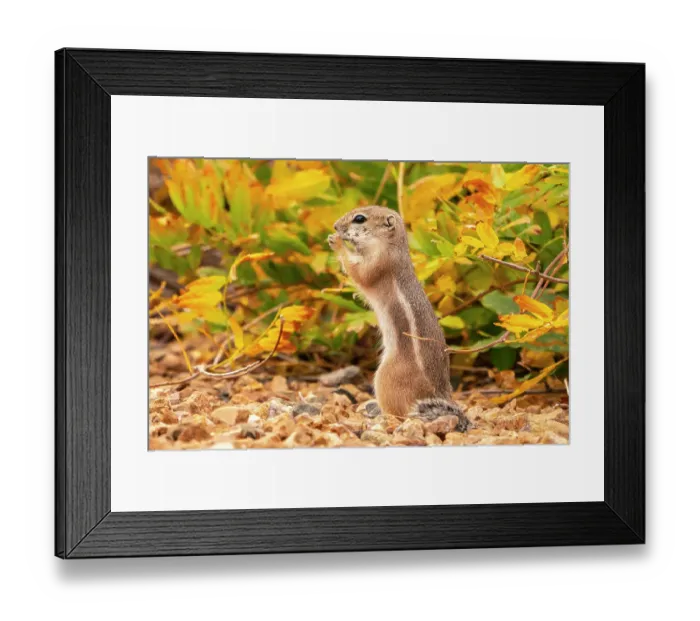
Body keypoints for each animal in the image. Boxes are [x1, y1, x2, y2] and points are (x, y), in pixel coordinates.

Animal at [328, 206, 469, 432]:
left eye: (359, 218)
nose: (335, 226)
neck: (391, 245)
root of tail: (438, 394)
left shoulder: (379, 263)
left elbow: (360, 274)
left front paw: (338, 242)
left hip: (385, 378)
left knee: (400, 414)